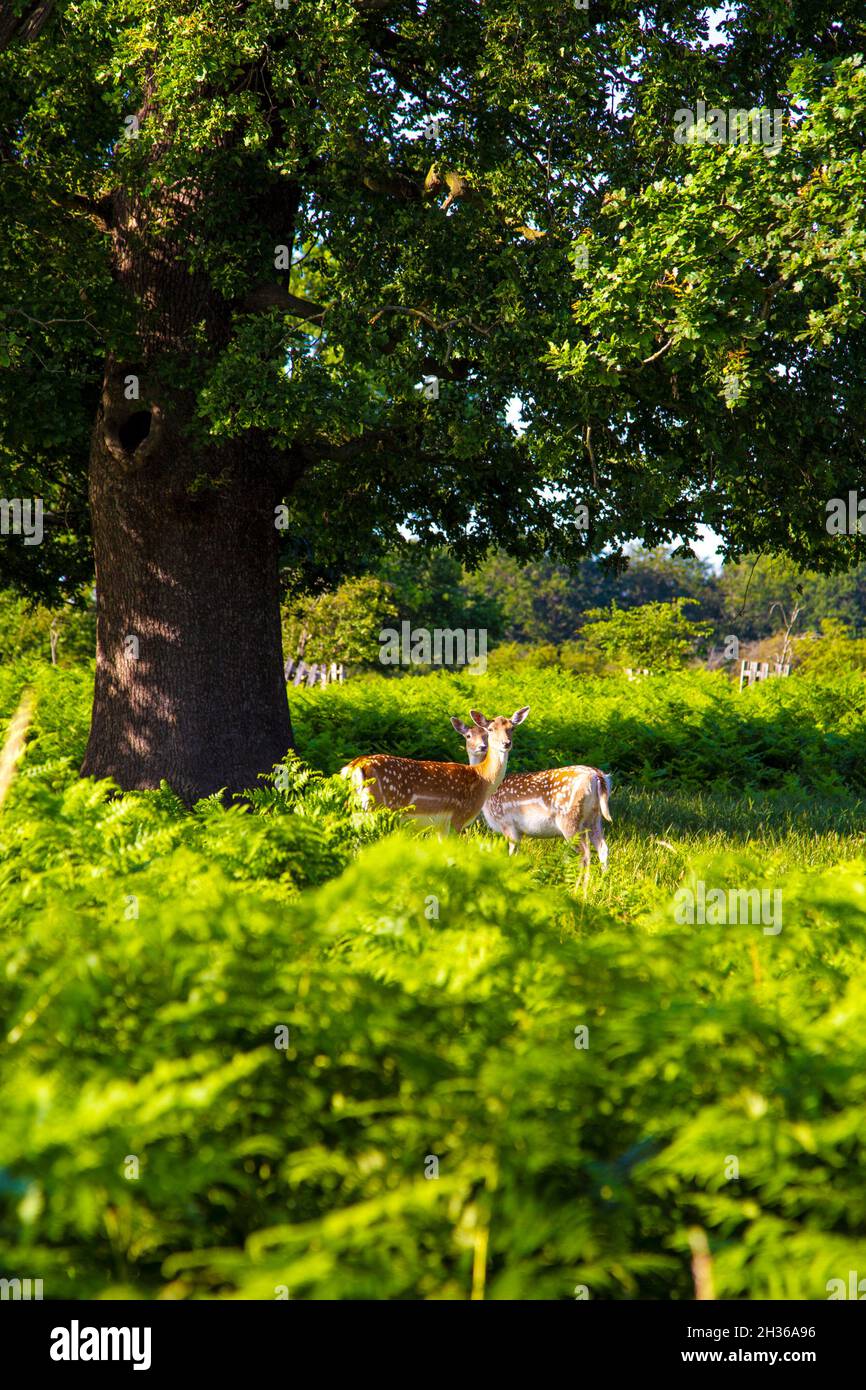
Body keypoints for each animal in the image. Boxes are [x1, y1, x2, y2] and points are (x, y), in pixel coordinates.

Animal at [341, 711, 530, 828]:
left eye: (512, 728)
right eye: (490, 729)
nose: (506, 743)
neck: (483, 779)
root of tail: (356, 766)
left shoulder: (440, 826)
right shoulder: (458, 816)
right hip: (381, 807)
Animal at [450, 717, 614, 867]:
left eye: (486, 734)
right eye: (468, 735)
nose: (482, 747)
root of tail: (597, 776)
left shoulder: (507, 823)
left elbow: (511, 854)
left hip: (570, 819)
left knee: (585, 855)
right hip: (595, 816)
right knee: (603, 848)